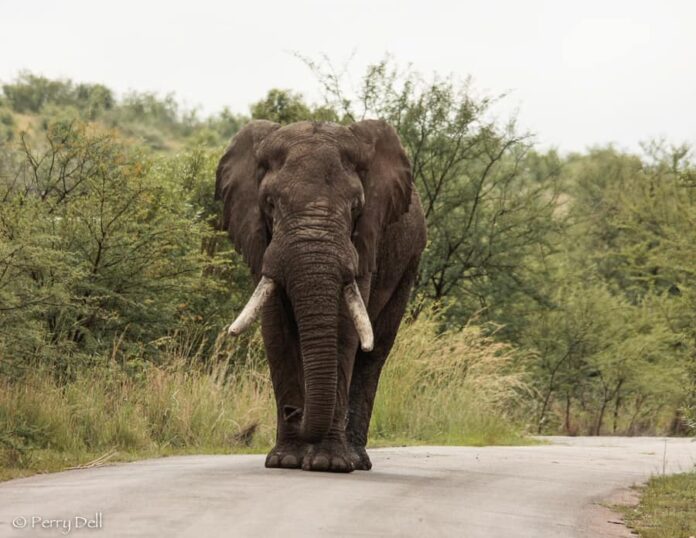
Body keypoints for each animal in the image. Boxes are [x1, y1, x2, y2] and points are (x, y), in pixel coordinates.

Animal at [215, 119, 426, 472]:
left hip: (409, 263)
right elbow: (276, 330)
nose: (293, 413)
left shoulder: (363, 244)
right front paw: (286, 460)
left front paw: (329, 464)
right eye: (270, 203)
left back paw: (356, 460)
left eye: (356, 206)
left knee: (374, 352)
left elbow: (345, 331)